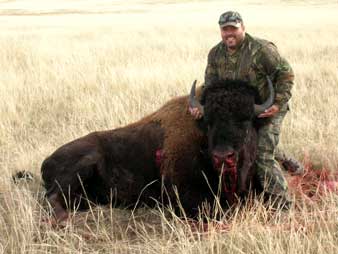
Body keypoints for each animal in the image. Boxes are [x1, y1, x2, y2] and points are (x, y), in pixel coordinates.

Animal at [41, 77, 274, 220]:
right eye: (209, 122)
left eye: (246, 121)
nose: (223, 156)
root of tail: (47, 160)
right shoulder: (186, 195)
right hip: (84, 164)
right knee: (51, 197)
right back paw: (63, 219)